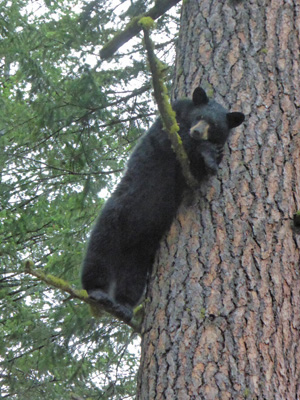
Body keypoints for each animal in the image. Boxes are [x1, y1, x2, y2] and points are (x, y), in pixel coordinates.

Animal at [81, 87, 244, 322]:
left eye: (214, 125)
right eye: (199, 116)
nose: (197, 132)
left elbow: (199, 171)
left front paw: (213, 158)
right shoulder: (167, 122)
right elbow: (171, 139)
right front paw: (207, 151)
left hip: (142, 249)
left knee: (133, 277)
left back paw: (124, 305)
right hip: (115, 214)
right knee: (99, 250)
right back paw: (97, 291)